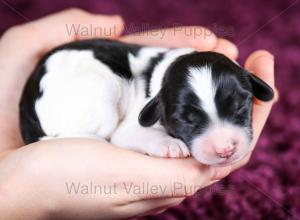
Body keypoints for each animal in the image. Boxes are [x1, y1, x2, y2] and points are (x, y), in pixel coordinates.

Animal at [19, 39, 274, 165]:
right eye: (185, 120)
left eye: (240, 105)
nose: (225, 150)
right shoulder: (128, 129)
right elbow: (134, 134)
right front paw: (169, 145)